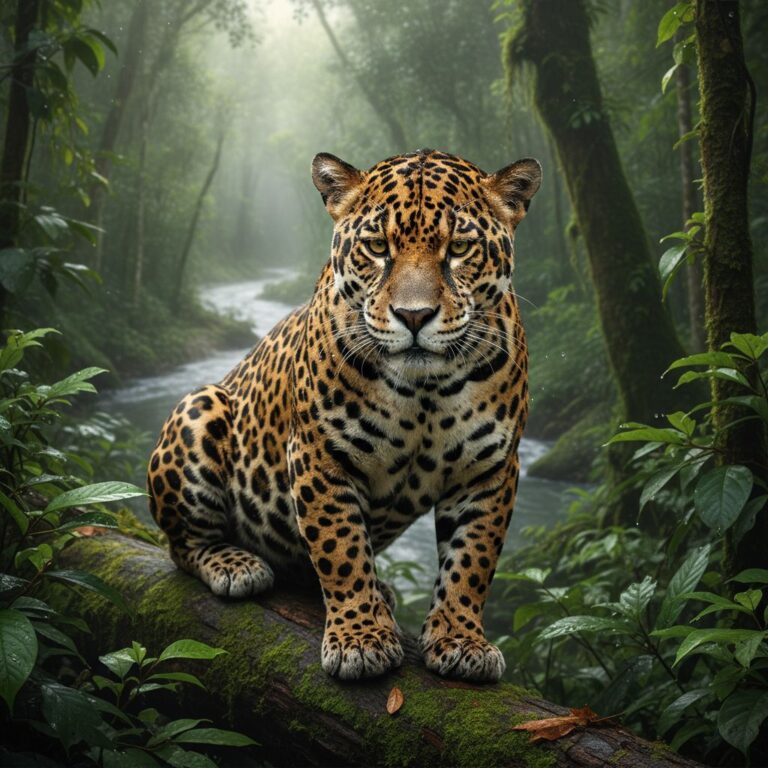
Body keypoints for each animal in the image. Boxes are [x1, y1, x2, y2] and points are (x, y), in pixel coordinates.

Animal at [148, 148, 541, 682]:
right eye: (377, 247)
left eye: (460, 247)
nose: (413, 316)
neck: (426, 390)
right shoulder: (320, 455)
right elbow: (341, 550)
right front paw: (360, 639)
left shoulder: (490, 468)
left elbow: (472, 561)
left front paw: (462, 639)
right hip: (200, 407)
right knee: (183, 545)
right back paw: (236, 565)